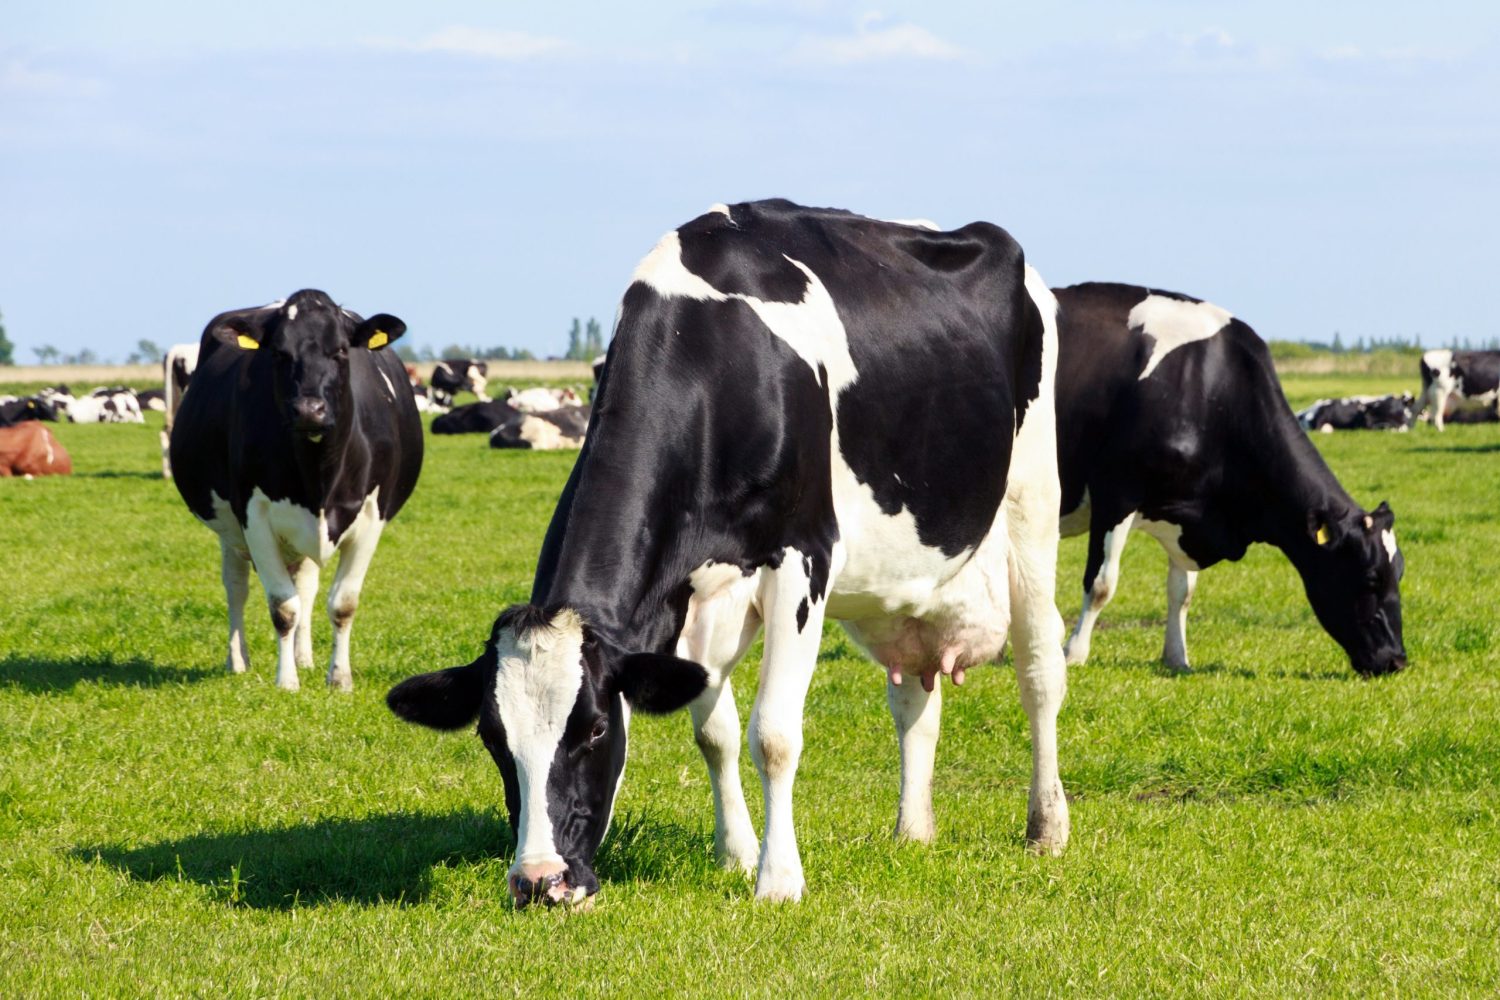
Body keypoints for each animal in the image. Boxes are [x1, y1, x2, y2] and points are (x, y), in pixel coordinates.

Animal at [169, 289, 423, 692]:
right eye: (278, 353)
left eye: (341, 350)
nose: (308, 410)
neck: (319, 473)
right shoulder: (253, 516)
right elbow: (282, 607)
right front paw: (286, 680)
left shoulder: (372, 516)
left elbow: (342, 603)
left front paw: (339, 678)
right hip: (229, 530)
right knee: (237, 587)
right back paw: (238, 660)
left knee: (306, 585)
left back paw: (304, 657)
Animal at [388, 199, 1070, 908]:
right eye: (492, 738)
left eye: (595, 729)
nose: (539, 881)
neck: (712, 358)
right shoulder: (689, 591)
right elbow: (712, 732)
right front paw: (735, 856)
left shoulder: (804, 556)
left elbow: (773, 733)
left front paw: (778, 880)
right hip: (906, 582)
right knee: (914, 698)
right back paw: (912, 831)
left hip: (1032, 499)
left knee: (1040, 668)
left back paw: (1046, 827)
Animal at [1052, 282, 1405, 676]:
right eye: (1370, 576)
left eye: (1399, 573)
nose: (1396, 659)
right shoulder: (1116, 491)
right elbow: (1101, 583)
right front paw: (1073, 653)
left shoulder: (1185, 511)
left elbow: (1182, 591)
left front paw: (1177, 658)